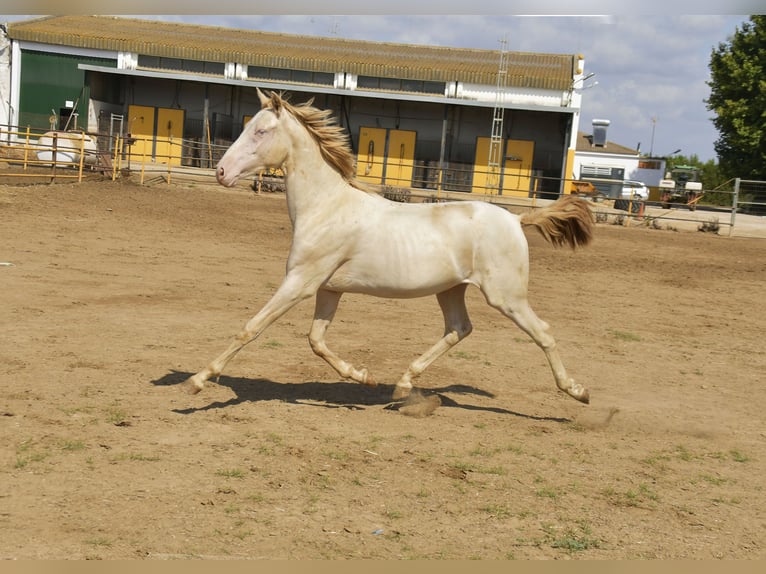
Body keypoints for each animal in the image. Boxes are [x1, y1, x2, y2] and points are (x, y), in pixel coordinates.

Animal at [183, 89, 596, 404]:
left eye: (261, 131)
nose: (221, 172)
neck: (326, 207)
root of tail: (516, 219)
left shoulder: (300, 282)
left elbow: (251, 328)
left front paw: (198, 380)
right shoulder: (328, 289)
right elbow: (316, 340)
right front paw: (363, 376)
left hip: (505, 296)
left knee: (542, 332)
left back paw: (577, 392)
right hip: (451, 290)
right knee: (459, 329)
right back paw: (402, 384)